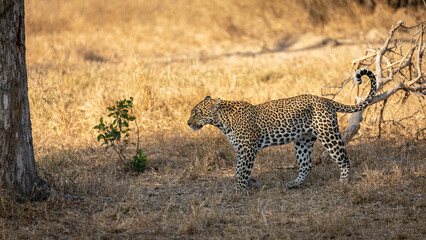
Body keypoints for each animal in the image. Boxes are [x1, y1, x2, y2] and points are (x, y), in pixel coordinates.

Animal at [186, 68, 376, 191]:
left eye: (197, 113)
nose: (188, 123)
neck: (222, 121)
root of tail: (325, 100)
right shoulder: (241, 150)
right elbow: (238, 170)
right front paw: (250, 182)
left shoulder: (248, 149)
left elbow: (242, 171)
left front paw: (240, 190)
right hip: (303, 141)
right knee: (306, 166)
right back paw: (294, 184)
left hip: (329, 135)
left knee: (344, 159)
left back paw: (343, 182)